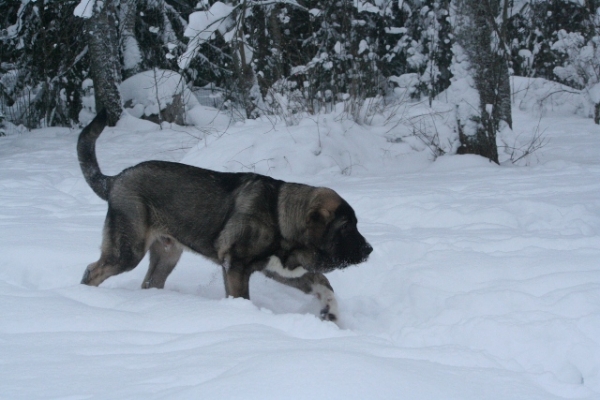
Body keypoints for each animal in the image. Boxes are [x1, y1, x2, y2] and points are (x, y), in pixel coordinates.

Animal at [77, 109, 372, 322]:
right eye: (346, 226)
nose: (369, 249)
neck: (279, 215)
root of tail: (116, 179)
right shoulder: (235, 266)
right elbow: (242, 298)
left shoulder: (280, 270)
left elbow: (324, 283)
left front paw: (332, 314)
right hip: (127, 250)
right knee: (93, 271)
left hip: (167, 254)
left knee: (149, 283)